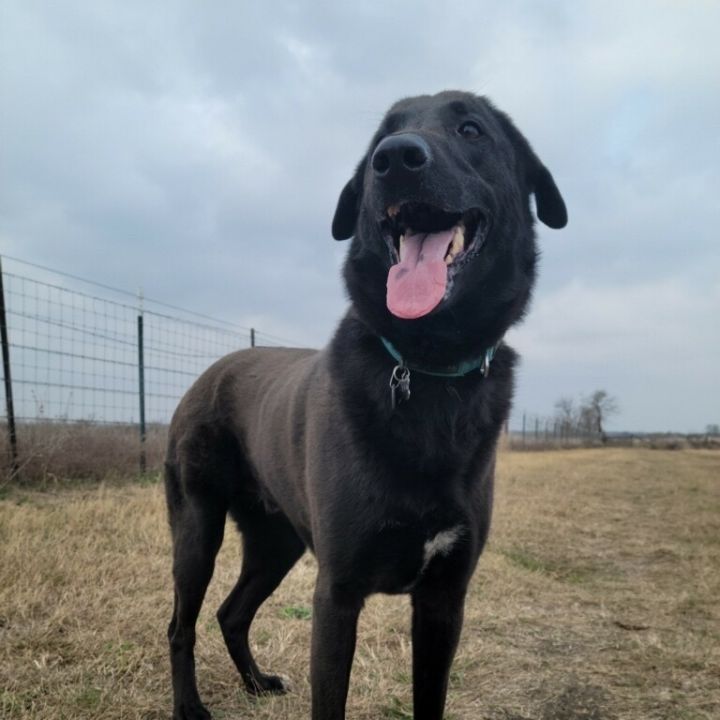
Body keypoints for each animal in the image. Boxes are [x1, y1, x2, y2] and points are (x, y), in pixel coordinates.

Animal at [165, 91, 568, 720]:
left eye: (471, 129)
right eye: (381, 136)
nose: (395, 158)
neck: (425, 367)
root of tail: (206, 375)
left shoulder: (443, 601)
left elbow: (431, 700)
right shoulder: (337, 592)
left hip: (276, 542)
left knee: (232, 612)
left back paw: (256, 682)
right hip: (197, 528)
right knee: (180, 625)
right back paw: (190, 706)